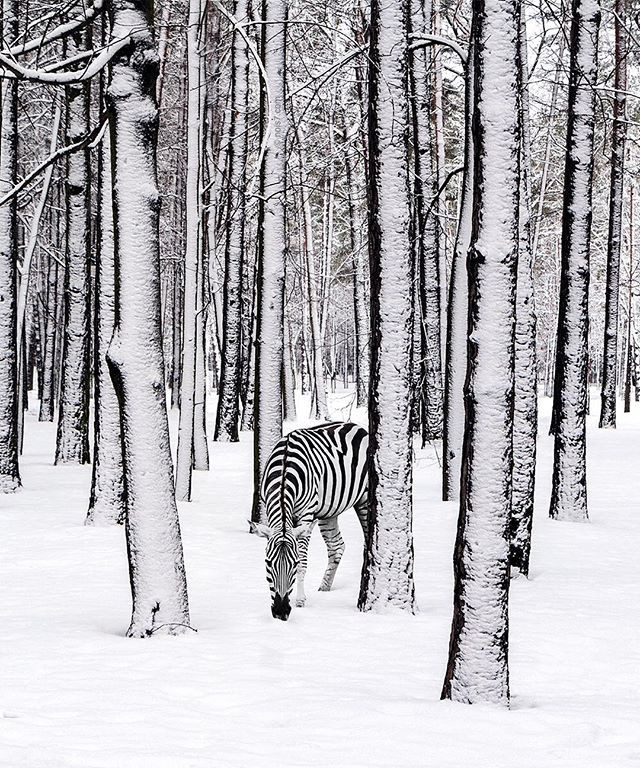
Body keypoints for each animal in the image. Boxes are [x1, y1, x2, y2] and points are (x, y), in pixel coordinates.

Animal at [251, 424, 370, 620]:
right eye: (268, 563)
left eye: (294, 564)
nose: (281, 612)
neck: (285, 469)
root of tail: (357, 426)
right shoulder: (270, 509)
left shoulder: (306, 515)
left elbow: (304, 561)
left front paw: (300, 601)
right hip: (328, 511)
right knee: (336, 546)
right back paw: (325, 587)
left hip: (365, 499)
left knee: (369, 540)